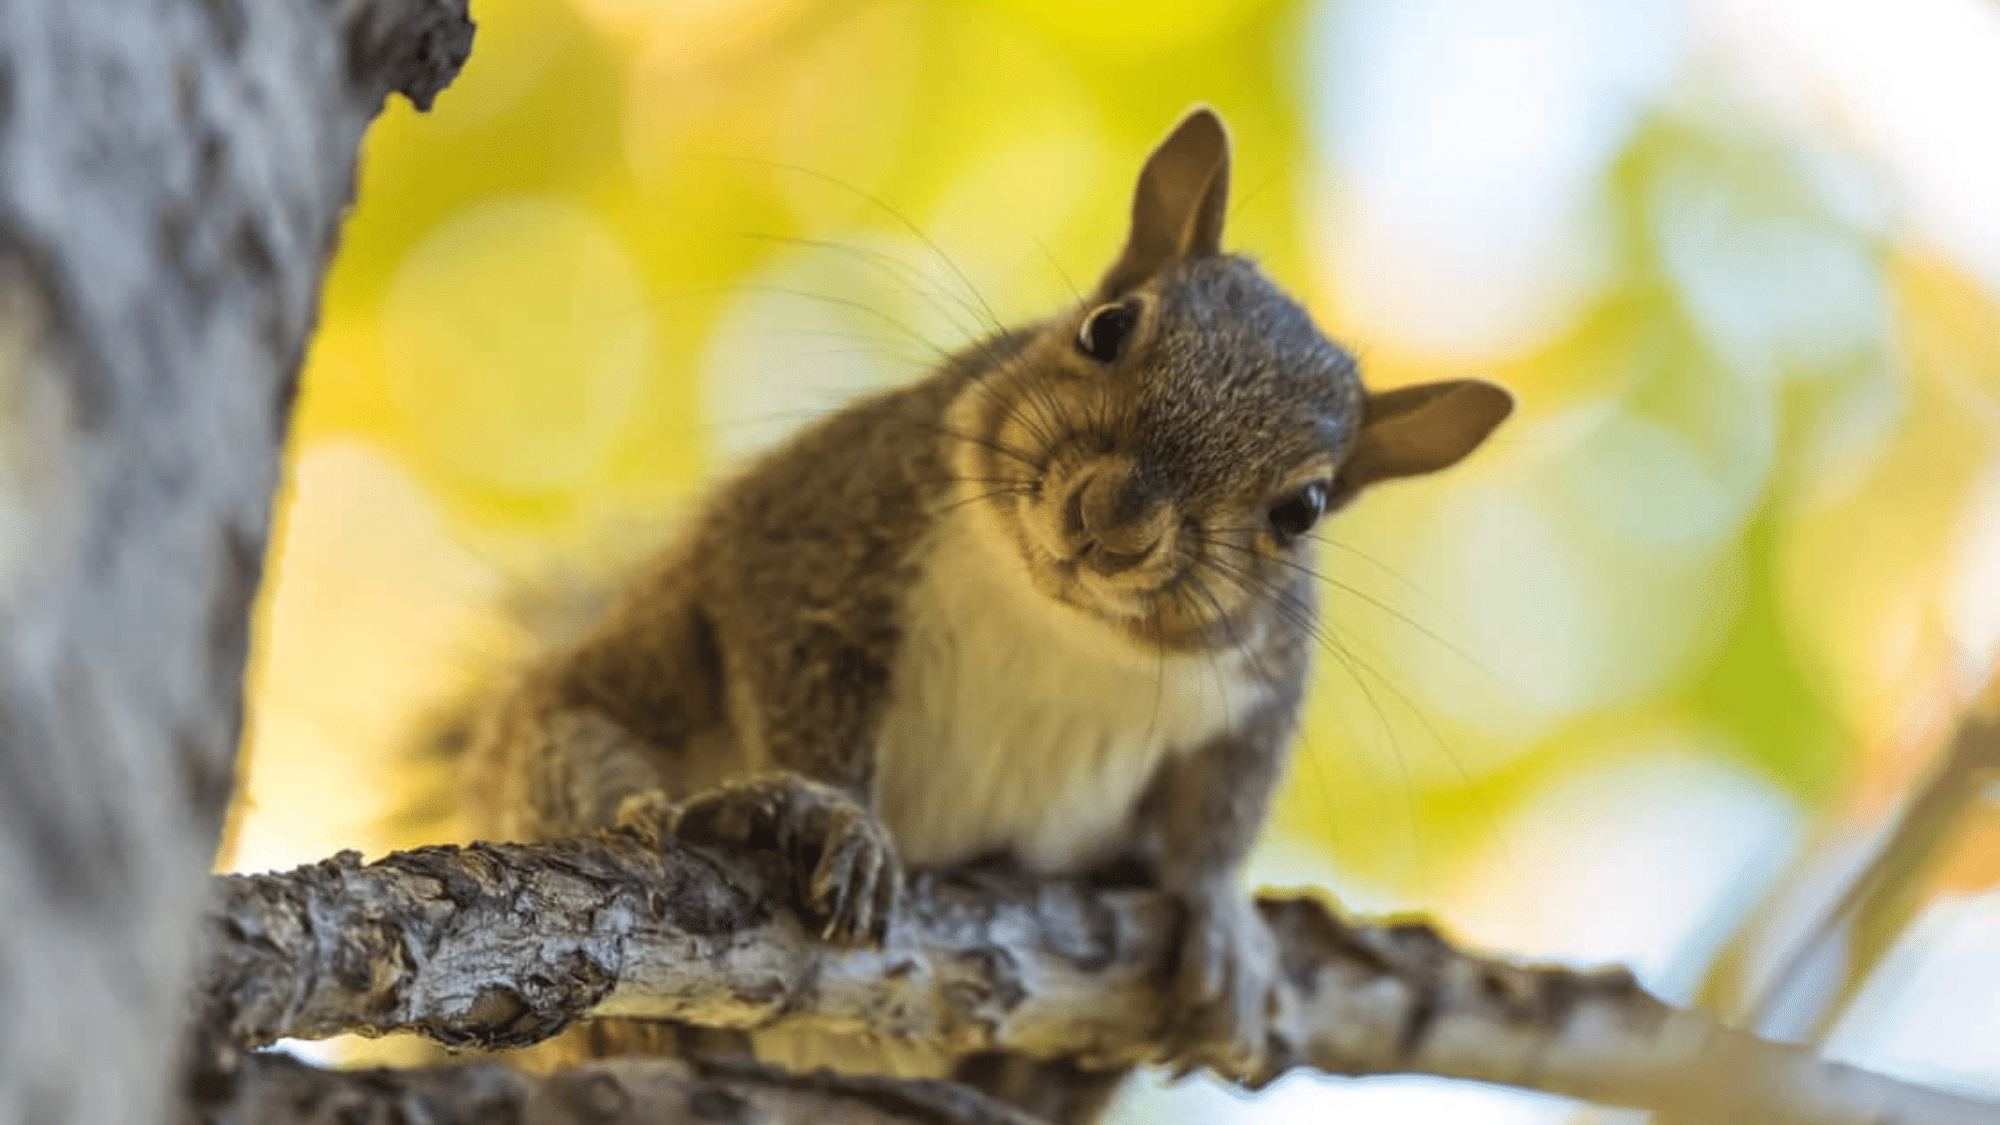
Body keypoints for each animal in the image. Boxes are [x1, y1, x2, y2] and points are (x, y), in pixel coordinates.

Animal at [430, 106, 1513, 1122]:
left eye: (1303, 509)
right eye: (1107, 326)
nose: (1113, 519)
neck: (1055, 613)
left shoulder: (1255, 690)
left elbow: (1222, 808)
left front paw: (1219, 924)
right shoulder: (815, 532)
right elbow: (797, 679)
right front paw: (837, 815)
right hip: (565, 737)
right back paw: (694, 834)